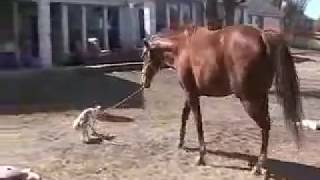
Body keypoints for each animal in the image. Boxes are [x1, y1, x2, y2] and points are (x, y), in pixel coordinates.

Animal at [141, 24, 302, 175]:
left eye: (145, 56)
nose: (144, 82)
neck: (181, 48)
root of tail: (262, 36)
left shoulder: (191, 94)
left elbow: (198, 122)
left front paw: (201, 157)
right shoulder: (190, 93)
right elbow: (184, 116)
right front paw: (180, 143)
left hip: (250, 101)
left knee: (265, 126)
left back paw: (258, 167)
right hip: (261, 98)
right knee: (266, 127)